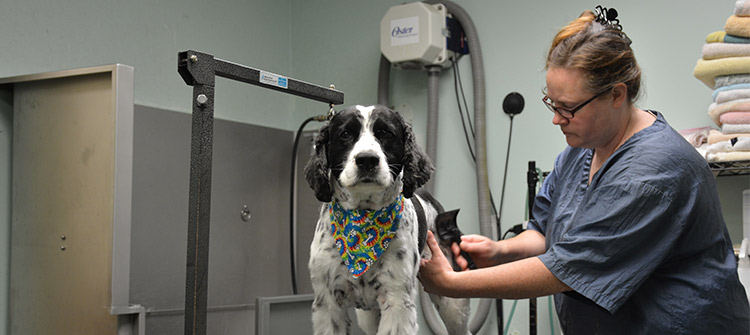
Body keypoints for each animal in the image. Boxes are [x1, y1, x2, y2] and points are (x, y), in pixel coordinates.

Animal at [306, 105, 470, 335]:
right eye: (345, 134)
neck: (362, 220)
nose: (367, 159)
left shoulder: (398, 301)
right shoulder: (328, 304)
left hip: (452, 302)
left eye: (386, 134)